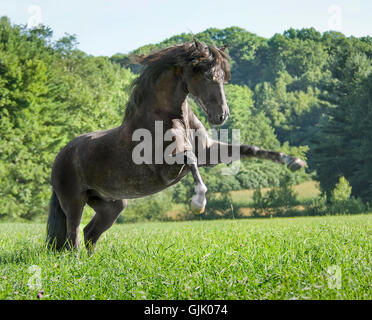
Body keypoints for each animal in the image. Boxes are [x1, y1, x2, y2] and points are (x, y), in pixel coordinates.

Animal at [46, 40, 306, 251]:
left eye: (224, 78)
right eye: (208, 76)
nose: (222, 116)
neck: (174, 117)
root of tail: (61, 155)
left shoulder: (209, 152)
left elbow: (249, 149)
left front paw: (294, 161)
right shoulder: (166, 168)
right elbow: (190, 159)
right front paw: (198, 202)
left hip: (112, 204)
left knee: (90, 233)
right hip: (74, 201)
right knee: (72, 237)